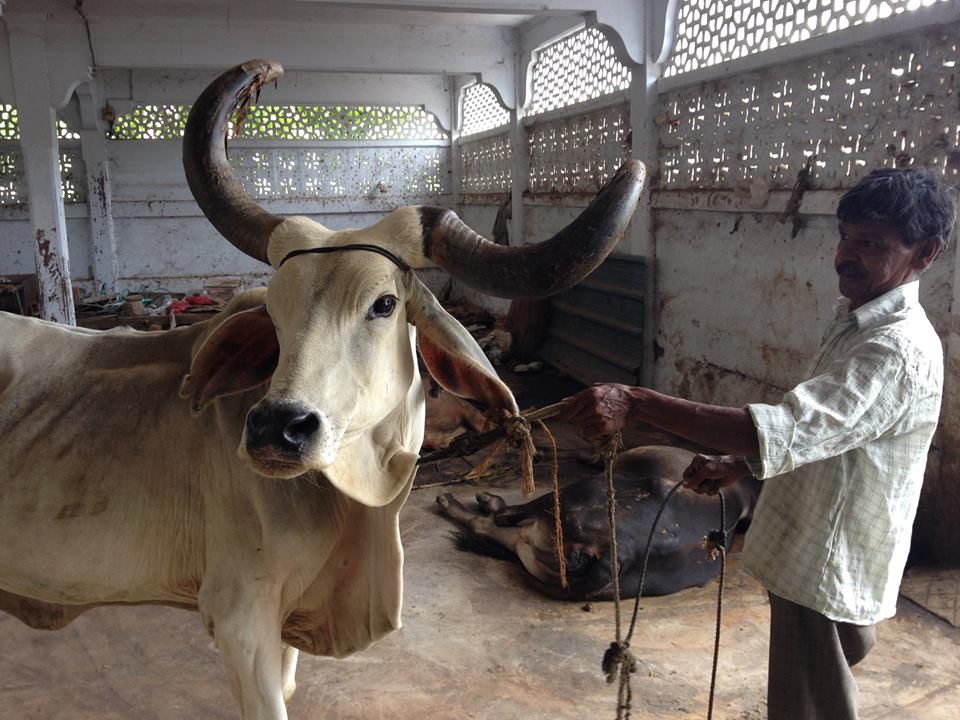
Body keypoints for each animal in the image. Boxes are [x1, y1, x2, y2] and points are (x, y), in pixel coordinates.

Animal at [436, 446, 760, 600]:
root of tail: (616, 555)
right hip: (537, 549)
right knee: (495, 529)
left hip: (573, 498)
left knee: (501, 518)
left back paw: (462, 501)